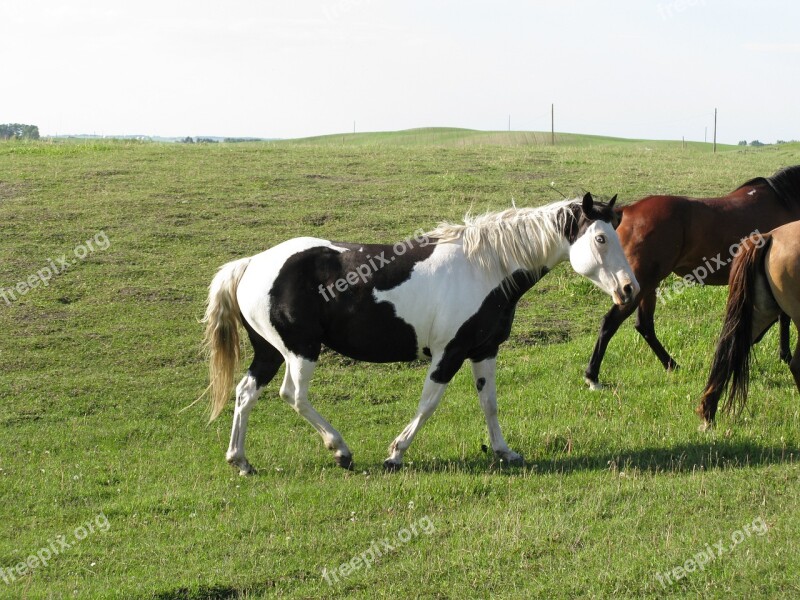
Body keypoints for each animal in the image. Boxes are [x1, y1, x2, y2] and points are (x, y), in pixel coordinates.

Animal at [205, 193, 636, 474]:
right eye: (601, 238)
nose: (629, 289)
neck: (485, 267)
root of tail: (251, 264)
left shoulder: (484, 350)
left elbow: (490, 404)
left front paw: (504, 452)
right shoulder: (449, 353)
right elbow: (428, 404)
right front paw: (396, 453)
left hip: (270, 351)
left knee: (245, 393)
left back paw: (240, 461)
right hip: (301, 350)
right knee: (293, 396)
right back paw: (340, 450)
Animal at [584, 165, 800, 390]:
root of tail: (627, 211)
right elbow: (784, 317)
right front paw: (784, 355)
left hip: (646, 285)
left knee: (644, 325)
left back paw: (671, 364)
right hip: (639, 284)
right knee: (611, 323)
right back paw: (593, 376)